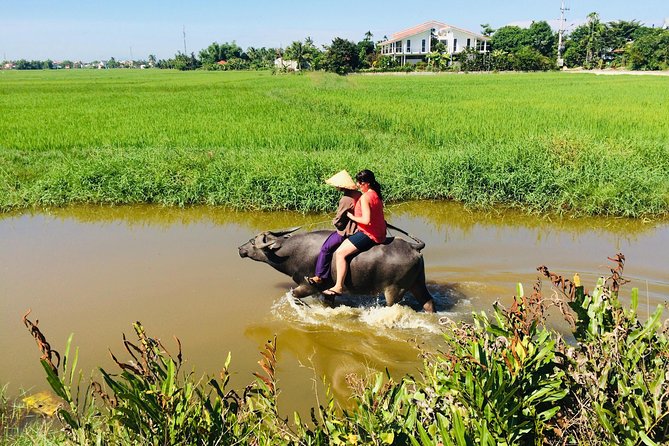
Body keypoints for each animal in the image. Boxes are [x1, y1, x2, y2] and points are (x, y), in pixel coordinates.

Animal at [237, 228, 436, 312]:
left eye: (253, 242)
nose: (240, 248)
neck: (291, 252)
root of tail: (412, 247)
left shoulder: (309, 286)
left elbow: (293, 295)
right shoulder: (328, 291)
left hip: (394, 291)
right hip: (418, 283)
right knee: (428, 302)